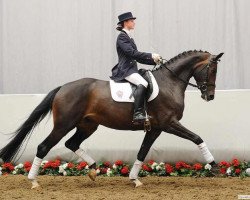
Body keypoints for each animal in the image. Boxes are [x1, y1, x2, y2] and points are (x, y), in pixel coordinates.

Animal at [0, 49, 223, 188]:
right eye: (211, 69)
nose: (210, 96)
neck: (169, 83)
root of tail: (63, 87)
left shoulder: (156, 128)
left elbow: (143, 151)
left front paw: (134, 179)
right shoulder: (169, 123)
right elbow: (197, 138)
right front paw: (213, 165)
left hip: (88, 125)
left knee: (72, 143)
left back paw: (93, 169)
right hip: (64, 124)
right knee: (44, 147)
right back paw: (33, 181)